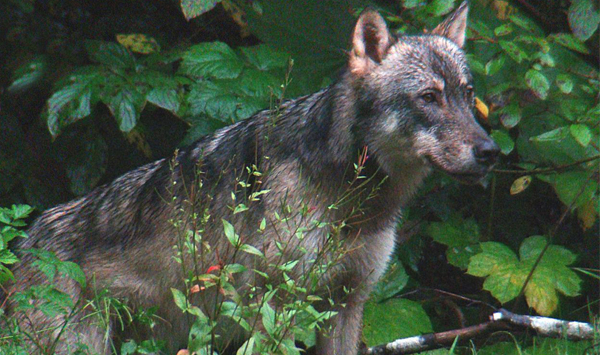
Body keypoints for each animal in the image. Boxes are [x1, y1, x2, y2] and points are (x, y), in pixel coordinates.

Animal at [4, 3, 496, 355]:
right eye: (429, 97)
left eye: (467, 95)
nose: (491, 152)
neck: (353, 200)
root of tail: (26, 242)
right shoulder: (270, 309)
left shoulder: (346, 303)